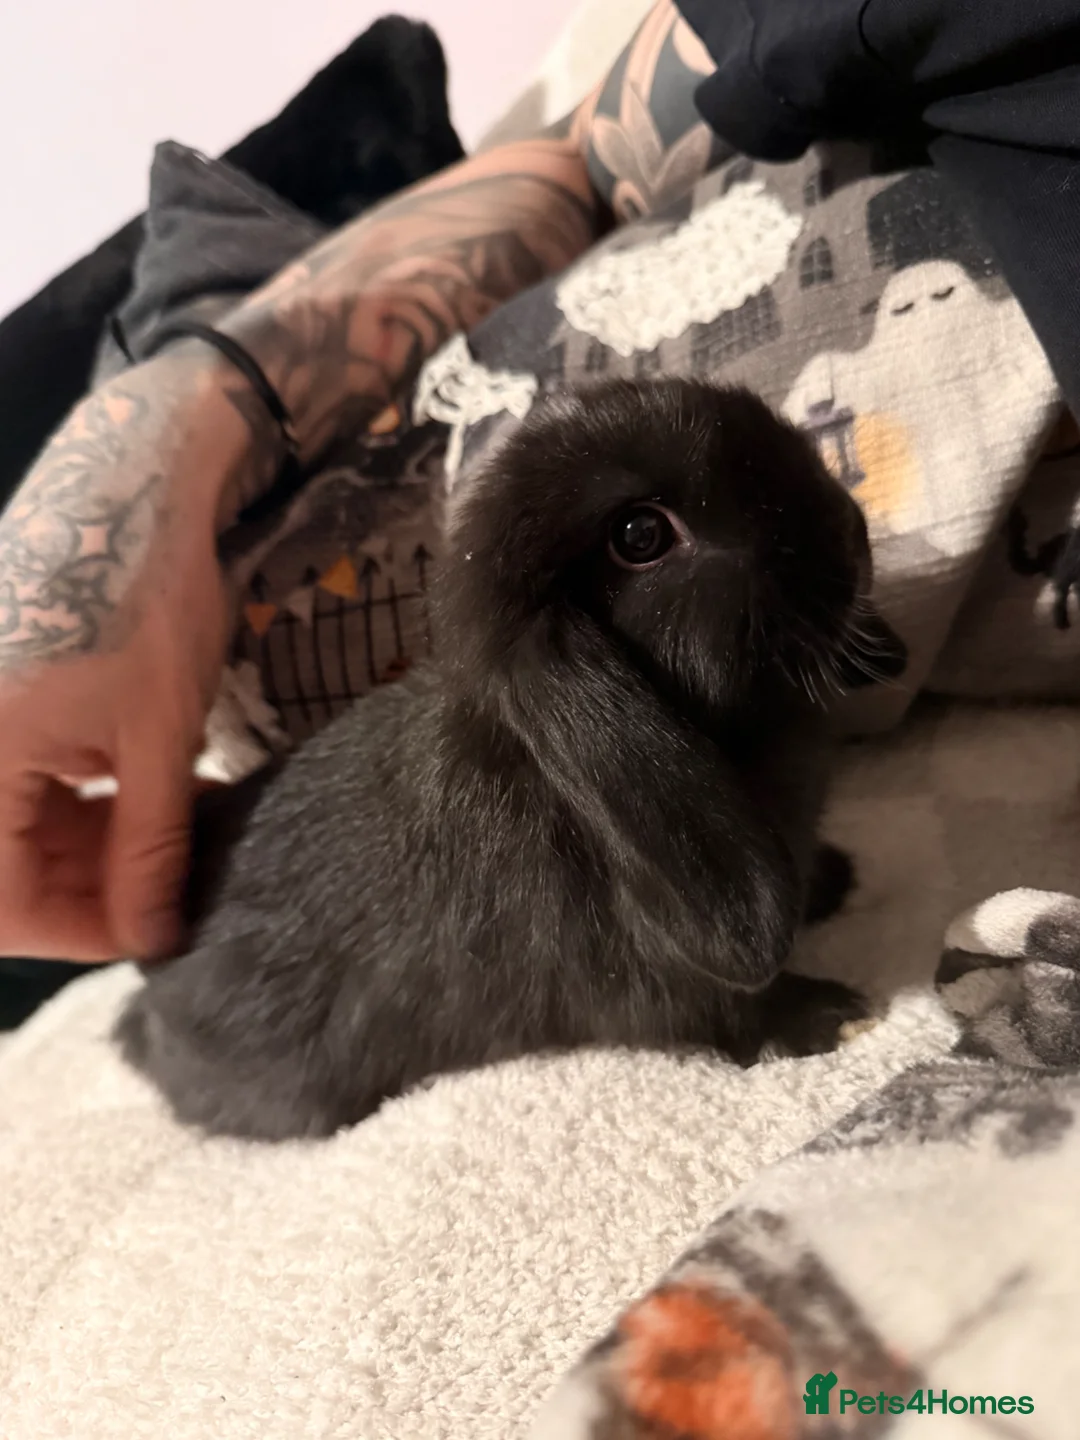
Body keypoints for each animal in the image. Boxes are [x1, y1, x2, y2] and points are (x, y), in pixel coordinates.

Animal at [116, 378, 906, 1140]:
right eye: (641, 535)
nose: (853, 531)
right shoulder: (657, 985)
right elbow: (730, 1015)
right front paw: (832, 1015)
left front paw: (833, 879)